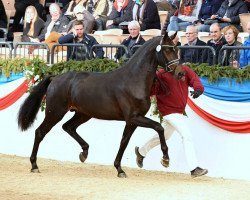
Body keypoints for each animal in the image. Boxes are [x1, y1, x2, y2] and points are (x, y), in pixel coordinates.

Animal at [17, 32, 184, 177]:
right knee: (40, 132)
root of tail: (55, 77)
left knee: (68, 127)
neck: (133, 80)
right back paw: (34, 165)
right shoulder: (134, 118)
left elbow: (124, 142)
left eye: (176, 49)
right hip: (55, 112)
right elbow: (159, 127)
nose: (180, 73)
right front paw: (165, 159)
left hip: (83, 114)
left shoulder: (132, 121)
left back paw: (84, 153)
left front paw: (120, 169)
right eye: (167, 50)